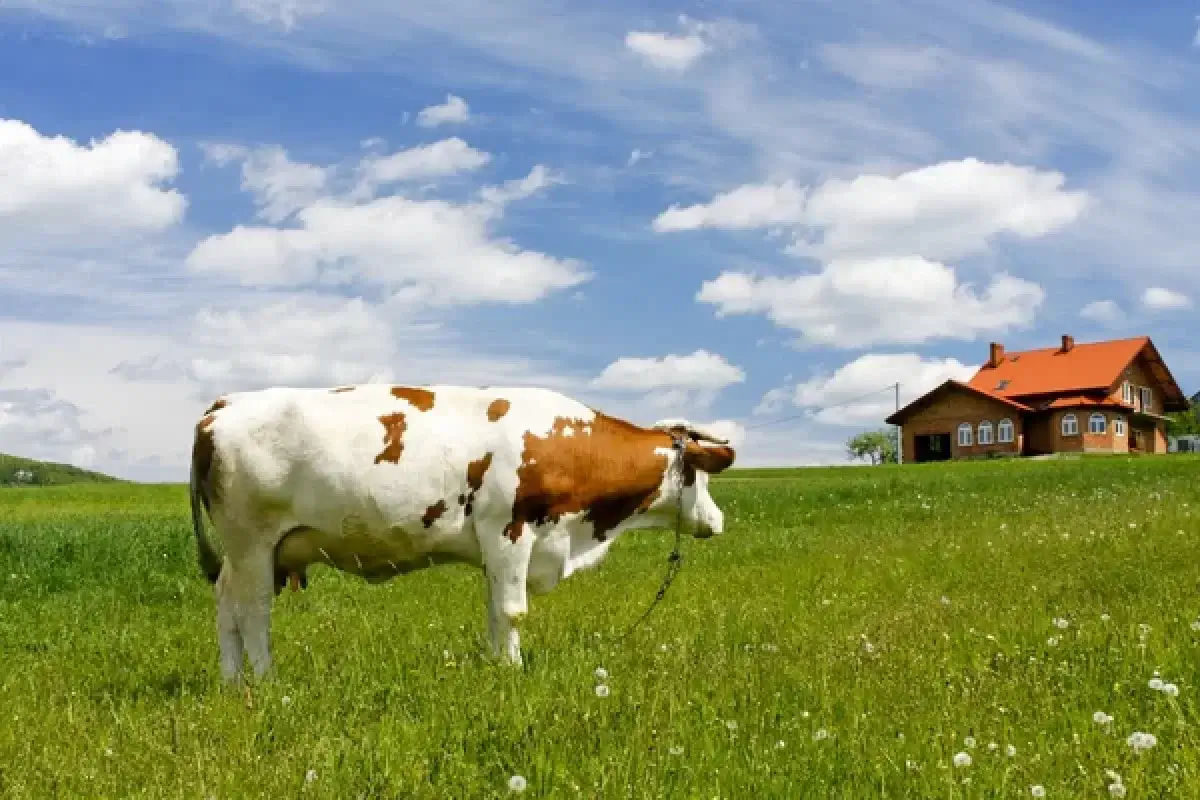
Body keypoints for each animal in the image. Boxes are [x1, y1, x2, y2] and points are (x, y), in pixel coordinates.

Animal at [188, 383, 734, 686]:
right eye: (697, 476)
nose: (718, 521)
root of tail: (226, 403)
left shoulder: (500, 547)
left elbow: (496, 610)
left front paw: (497, 666)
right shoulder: (510, 529)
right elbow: (513, 611)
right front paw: (514, 673)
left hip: (244, 553)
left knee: (226, 606)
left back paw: (232, 682)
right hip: (253, 543)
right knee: (253, 613)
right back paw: (265, 681)